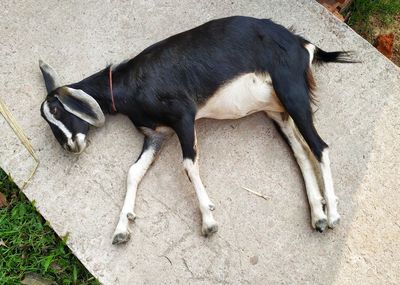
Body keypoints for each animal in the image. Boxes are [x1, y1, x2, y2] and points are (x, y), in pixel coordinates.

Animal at [39, 15, 354, 243]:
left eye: (55, 109)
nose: (70, 146)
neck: (132, 83)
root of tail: (302, 44)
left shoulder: (183, 117)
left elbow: (189, 165)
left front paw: (209, 221)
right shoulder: (156, 134)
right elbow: (133, 172)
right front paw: (121, 228)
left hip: (292, 93)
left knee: (320, 147)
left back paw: (333, 215)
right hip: (277, 111)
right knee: (302, 152)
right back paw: (318, 215)